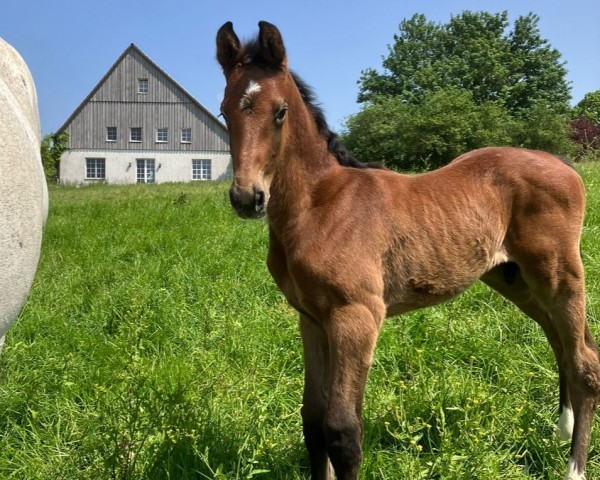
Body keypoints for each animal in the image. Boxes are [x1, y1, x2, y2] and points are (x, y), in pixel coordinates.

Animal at [217, 20, 600, 478]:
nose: (247, 197)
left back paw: (574, 467)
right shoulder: (311, 318)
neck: (319, 205)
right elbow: (312, 420)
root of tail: (561, 162)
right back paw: (562, 431)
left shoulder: (356, 316)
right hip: (514, 278)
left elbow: (342, 430)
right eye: (223, 111)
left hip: (559, 273)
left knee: (584, 362)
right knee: (564, 344)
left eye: (280, 111)